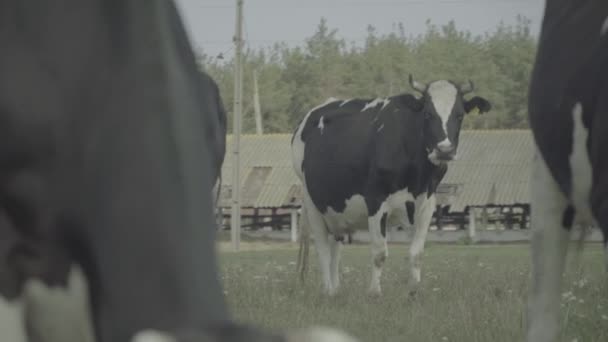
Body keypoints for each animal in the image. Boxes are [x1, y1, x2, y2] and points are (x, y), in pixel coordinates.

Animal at [292, 76, 492, 296]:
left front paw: (413, 291)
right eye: (428, 114)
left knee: (335, 246)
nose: (445, 150)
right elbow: (379, 252)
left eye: (460, 115)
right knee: (323, 249)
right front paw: (374, 293)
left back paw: (336, 290)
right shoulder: (375, 200)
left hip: (335, 209)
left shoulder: (426, 203)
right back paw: (328, 290)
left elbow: (417, 253)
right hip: (312, 202)